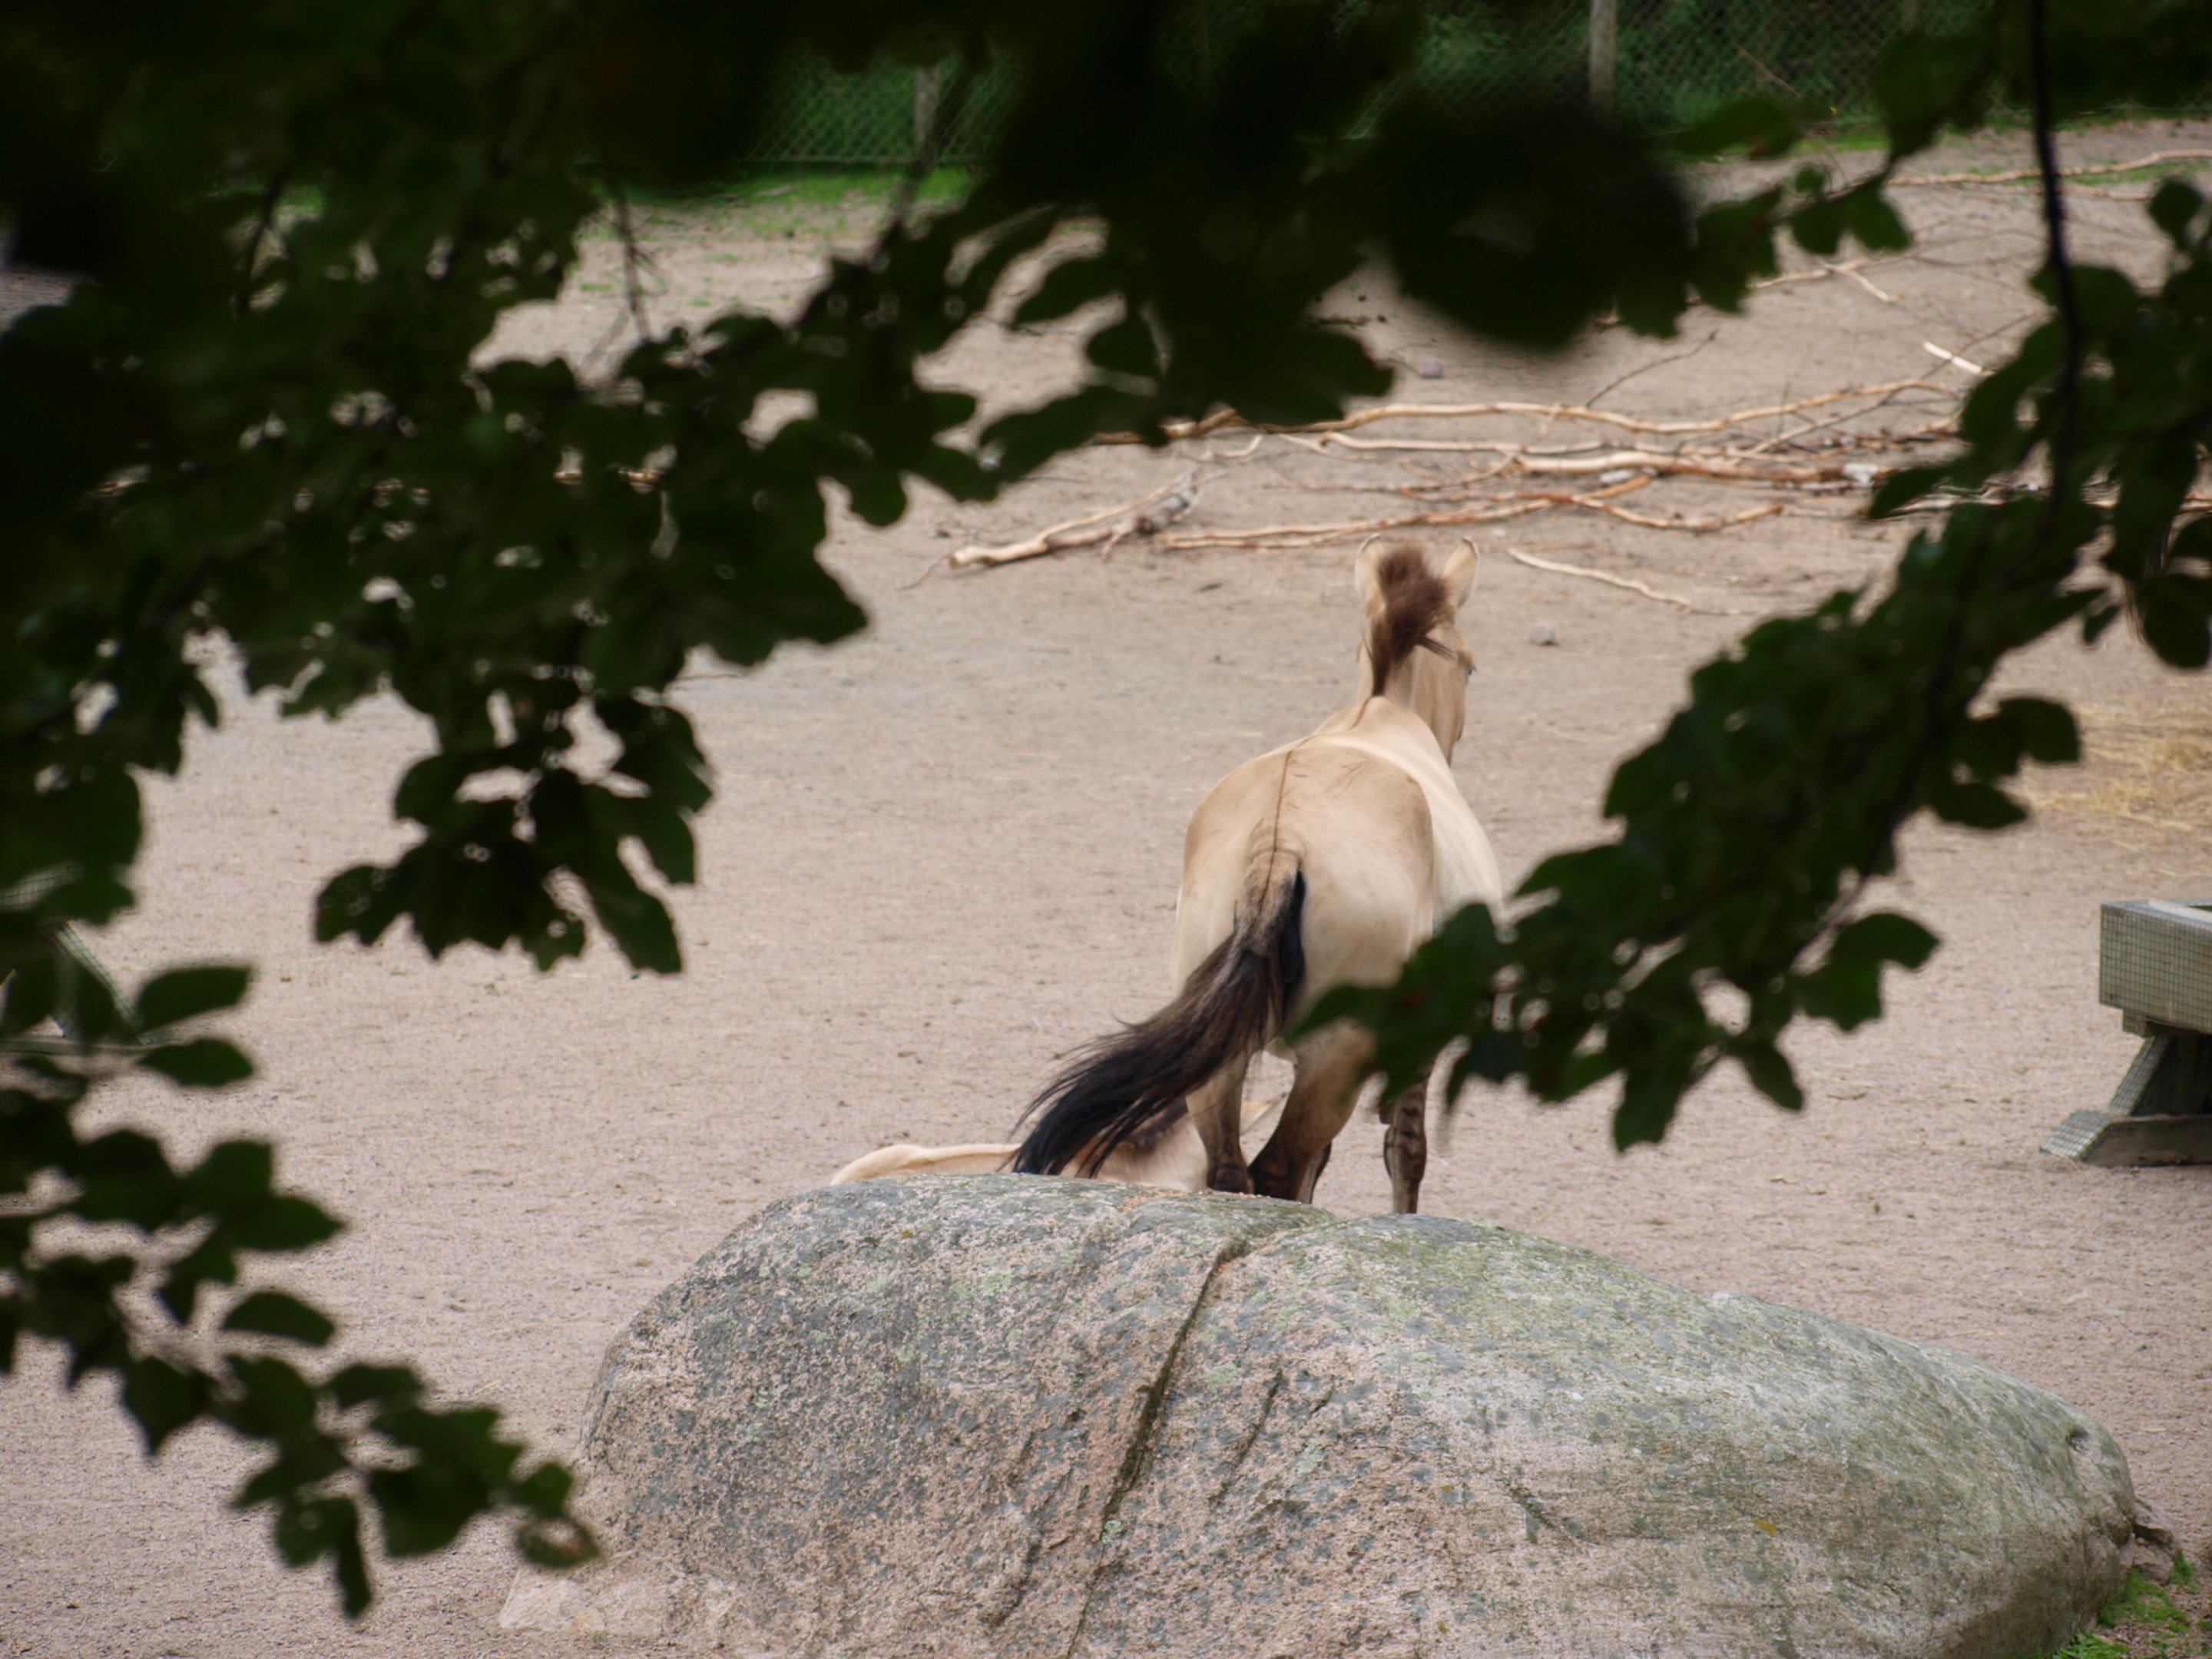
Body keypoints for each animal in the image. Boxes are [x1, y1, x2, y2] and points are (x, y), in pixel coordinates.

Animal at [1011, 538, 1501, 1213]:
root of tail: (1280, 842)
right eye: (1471, 667)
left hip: (1221, 1061)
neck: (1378, 715)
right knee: (1279, 1169)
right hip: (1334, 1058)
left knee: (1232, 1170)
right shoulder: (1420, 1038)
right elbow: (1405, 1153)